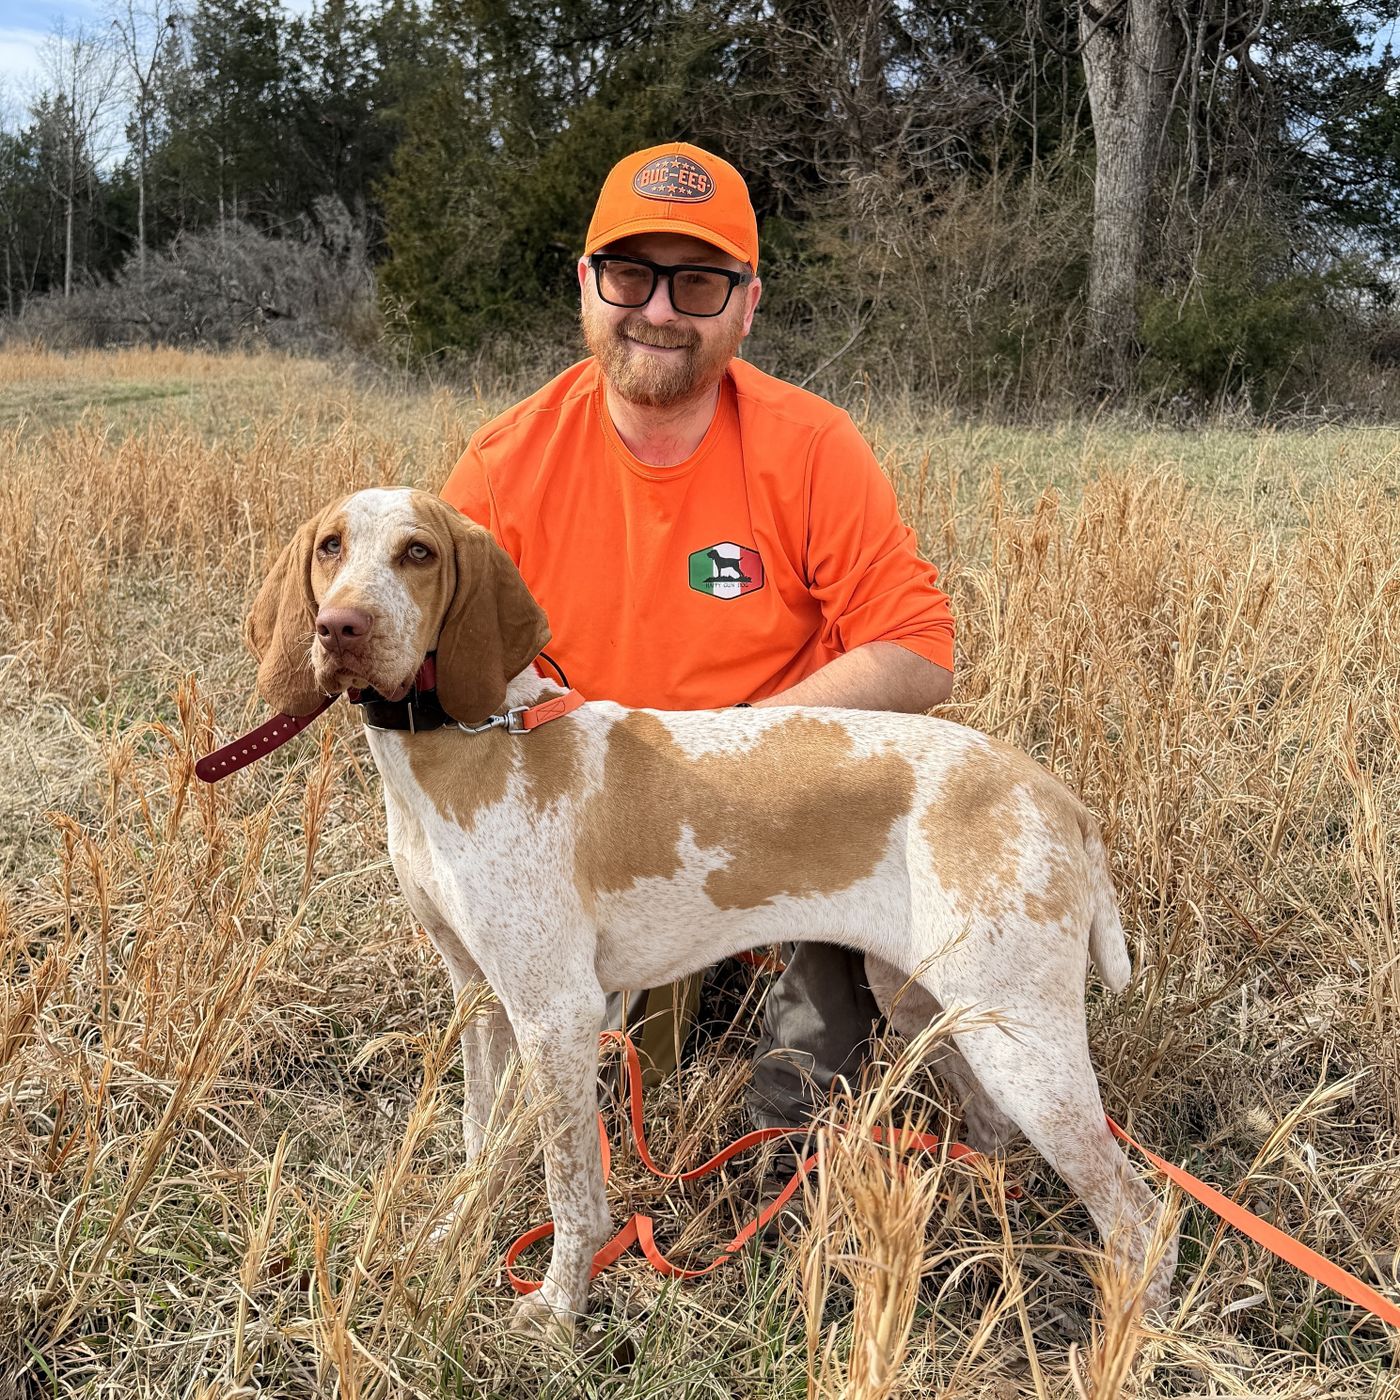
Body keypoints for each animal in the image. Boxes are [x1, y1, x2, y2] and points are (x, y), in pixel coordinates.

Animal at [245, 486, 1176, 1336]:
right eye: (330, 546)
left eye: (419, 553)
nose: (342, 628)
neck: (463, 740)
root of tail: (1056, 795)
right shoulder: (481, 997)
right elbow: (481, 1140)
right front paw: (455, 1239)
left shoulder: (558, 1013)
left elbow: (571, 1191)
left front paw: (558, 1309)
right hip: (931, 1006)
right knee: (991, 1132)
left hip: (1020, 1038)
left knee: (1140, 1212)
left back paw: (1129, 1334)